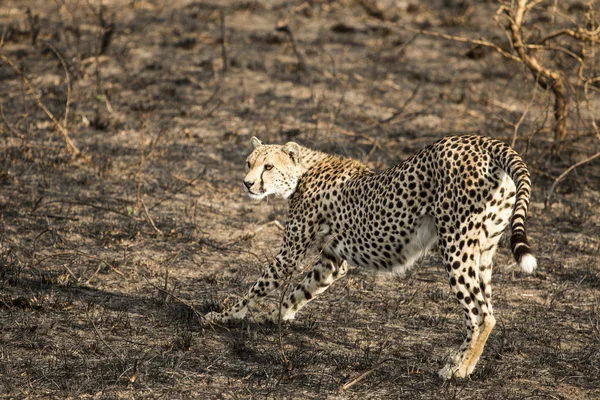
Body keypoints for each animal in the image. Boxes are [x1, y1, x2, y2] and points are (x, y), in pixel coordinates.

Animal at [205, 134, 536, 378]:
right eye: (249, 163)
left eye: (269, 167)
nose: (247, 183)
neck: (303, 171)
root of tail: (484, 140)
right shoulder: (332, 261)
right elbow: (301, 290)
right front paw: (276, 315)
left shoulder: (291, 252)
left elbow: (257, 287)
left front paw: (223, 315)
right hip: (483, 250)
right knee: (481, 309)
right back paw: (457, 358)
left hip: (456, 245)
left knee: (483, 315)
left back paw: (460, 370)